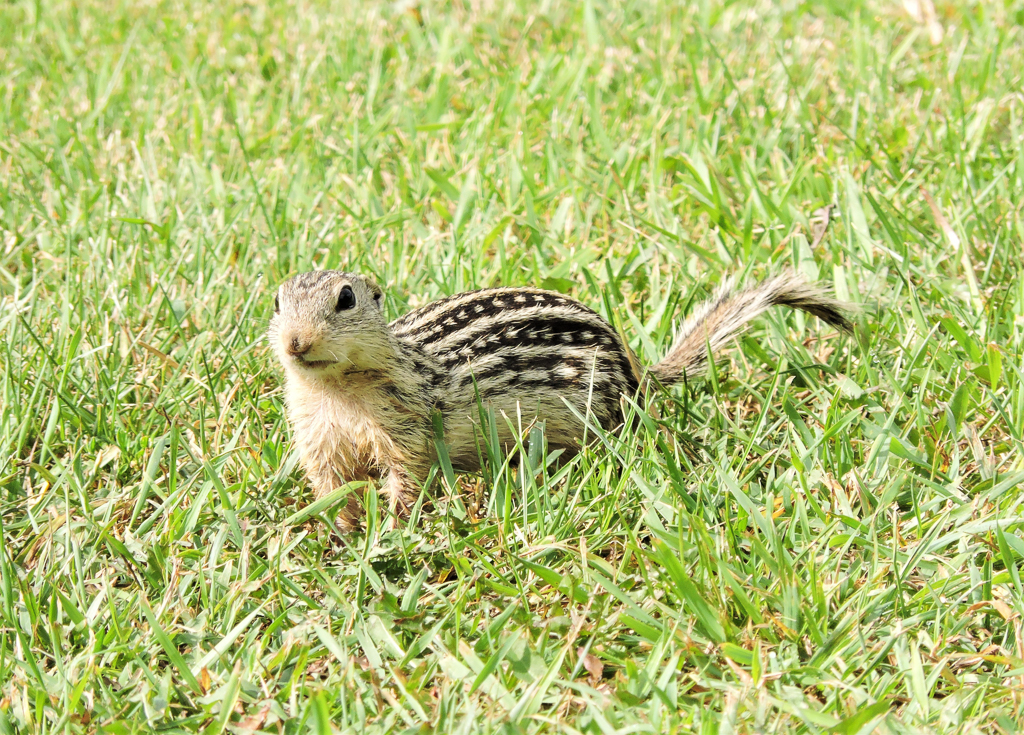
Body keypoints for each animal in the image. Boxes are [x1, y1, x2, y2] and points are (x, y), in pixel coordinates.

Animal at [268, 269, 853, 532]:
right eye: (276, 300)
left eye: (345, 298)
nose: (296, 342)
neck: (338, 393)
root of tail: (635, 368)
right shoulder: (318, 439)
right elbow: (329, 486)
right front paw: (341, 529)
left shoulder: (406, 433)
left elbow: (407, 481)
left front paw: (393, 526)